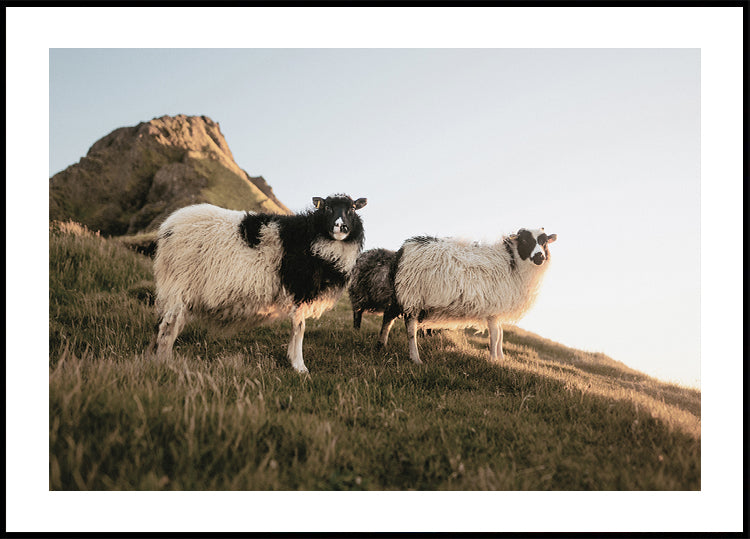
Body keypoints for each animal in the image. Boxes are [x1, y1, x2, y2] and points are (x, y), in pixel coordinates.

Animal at [148, 194, 368, 373]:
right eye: (327, 208)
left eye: (352, 208)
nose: (341, 227)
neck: (313, 238)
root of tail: (168, 227)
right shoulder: (300, 290)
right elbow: (300, 327)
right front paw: (300, 366)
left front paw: (293, 360)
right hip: (179, 283)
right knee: (168, 326)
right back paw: (164, 362)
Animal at [383, 228, 557, 364]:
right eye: (526, 240)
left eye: (544, 243)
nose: (540, 256)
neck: (512, 263)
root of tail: (404, 249)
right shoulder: (493, 309)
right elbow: (495, 335)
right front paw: (493, 360)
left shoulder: (498, 307)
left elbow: (500, 334)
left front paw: (501, 359)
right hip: (412, 295)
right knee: (410, 328)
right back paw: (415, 358)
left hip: (401, 294)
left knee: (388, 316)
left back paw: (381, 344)